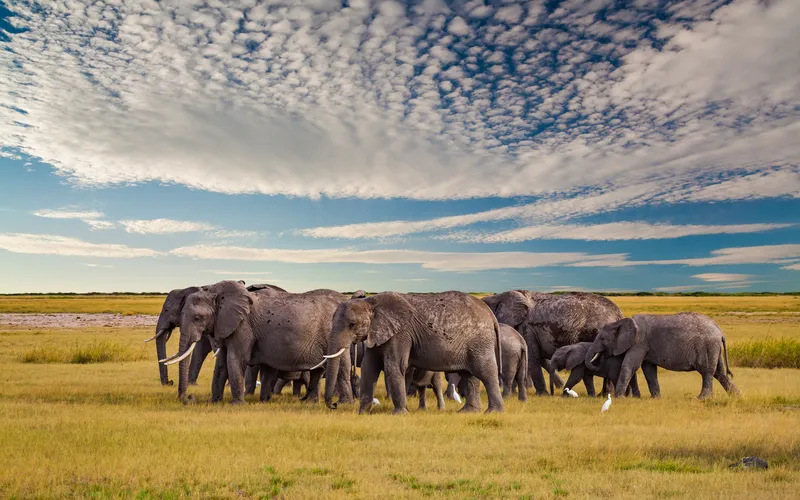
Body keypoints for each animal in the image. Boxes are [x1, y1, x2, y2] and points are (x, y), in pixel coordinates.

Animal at [164, 281, 353, 404]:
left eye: (197, 318)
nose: (188, 397)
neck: (216, 294)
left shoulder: (243, 326)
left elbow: (235, 359)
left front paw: (237, 405)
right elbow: (222, 364)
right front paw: (214, 402)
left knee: (341, 366)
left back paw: (343, 404)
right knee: (317, 371)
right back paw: (310, 402)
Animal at [321, 291, 504, 414]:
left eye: (352, 324)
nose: (334, 405)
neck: (370, 302)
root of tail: (490, 313)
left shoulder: (401, 333)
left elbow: (394, 366)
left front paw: (399, 414)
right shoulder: (378, 332)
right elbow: (369, 368)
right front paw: (363, 413)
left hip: (480, 341)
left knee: (486, 372)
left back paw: (493, 412)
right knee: (470, 375)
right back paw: (468, 412)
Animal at [483, 290, 622, 396]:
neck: (500, 296)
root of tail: (619, 314)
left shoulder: (526, 327)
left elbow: (532, 358)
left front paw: (542, 395)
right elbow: (540, 359)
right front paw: (559, 386)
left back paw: (604, 394)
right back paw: (604, 394)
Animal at [584, 313, 741, 400]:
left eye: (602, 338)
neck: (620, 322)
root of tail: (720, 331)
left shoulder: (639, 342)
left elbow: (630, 366)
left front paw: (619, 398)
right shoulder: (646, 346)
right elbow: (649, 370)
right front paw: (655, 398)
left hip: (708, 346)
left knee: (707, 371)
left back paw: (702, 399)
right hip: (714, 347)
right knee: (719, 373)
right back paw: (737, 396)